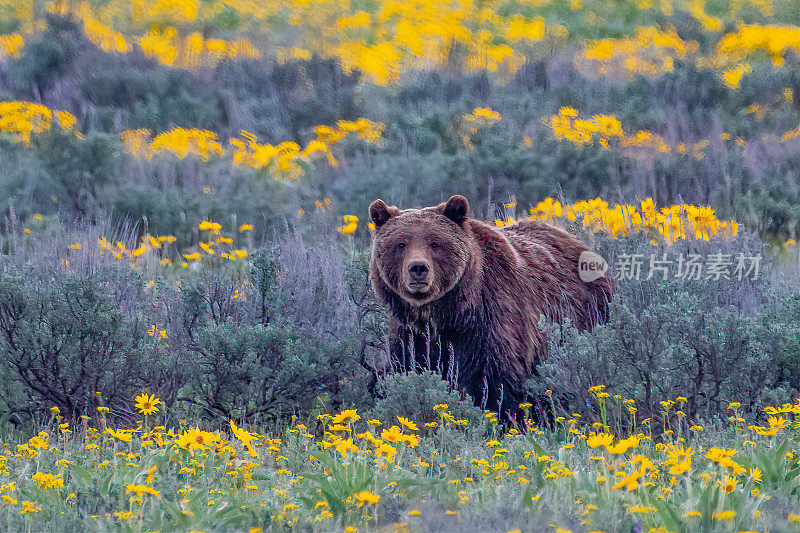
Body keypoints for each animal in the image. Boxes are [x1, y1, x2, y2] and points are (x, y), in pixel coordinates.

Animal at [368, 194, 612, 420]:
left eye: (435, 243)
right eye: (401, 244)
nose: (418, 268)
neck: (448, 313)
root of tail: (575, 240)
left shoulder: (492, 315)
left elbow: (493, 378)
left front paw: (501, 416)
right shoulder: (411, 332)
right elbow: (410, 368)